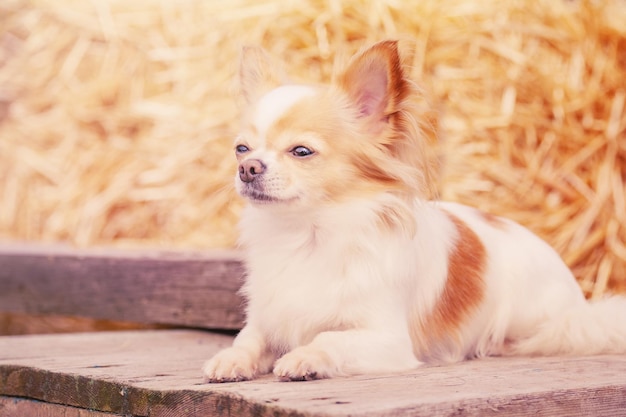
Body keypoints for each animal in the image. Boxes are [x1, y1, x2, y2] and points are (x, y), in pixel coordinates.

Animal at [202, 40, 620, 382]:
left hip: (538, 320)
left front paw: (305, 357)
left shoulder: (386, 339)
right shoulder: (268, 317)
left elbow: (330, 338)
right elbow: (248, 340)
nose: (247, 168)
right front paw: (231, 359)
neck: (308, 234)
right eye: (241, 149)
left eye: (301, 151)